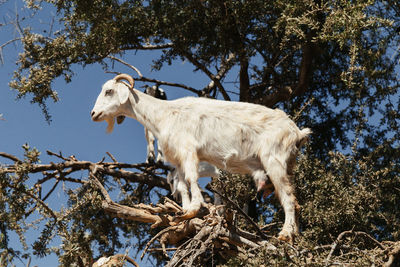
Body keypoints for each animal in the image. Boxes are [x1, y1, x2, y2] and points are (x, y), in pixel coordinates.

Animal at [91, 74, 312, 243]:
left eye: (109, 91)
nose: (93, 113)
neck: (163, 114)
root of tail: (297, 132)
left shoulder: (188, 150)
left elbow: (191, 179)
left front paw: (194, 208)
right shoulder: (178, 160)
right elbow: (182, 185)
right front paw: (184, 211)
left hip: (274, 161)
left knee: (288, 198)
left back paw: (284, 234)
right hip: (286, 165)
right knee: (295, 200)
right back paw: (295, 236)